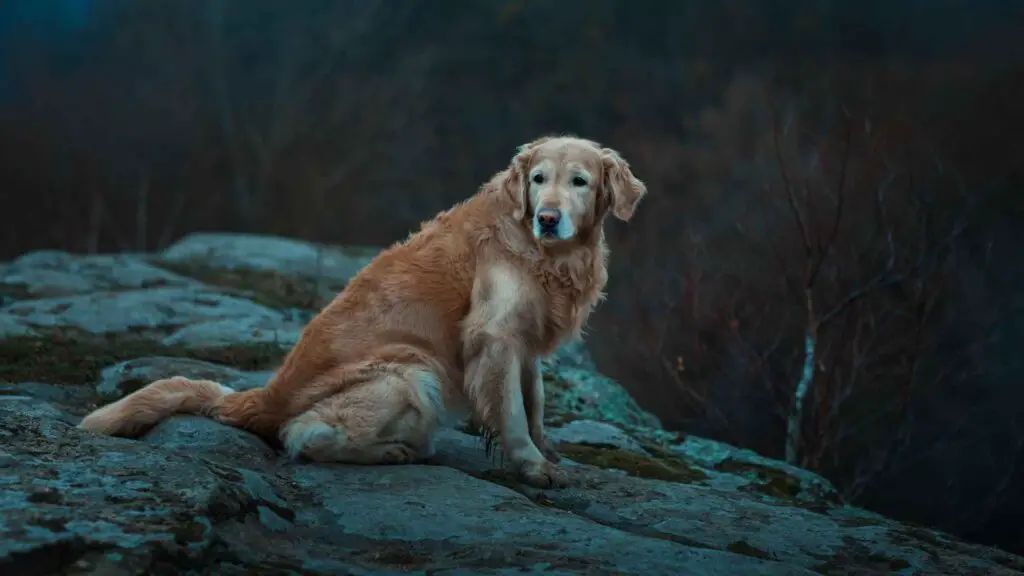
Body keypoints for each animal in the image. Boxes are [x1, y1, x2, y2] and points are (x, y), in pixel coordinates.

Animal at [83, 133, 651, 483]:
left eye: (579, 181)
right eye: (538, 179)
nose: (548, 218)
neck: (547, 255)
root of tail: (263, 395)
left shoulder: (526, 341)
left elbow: (534, 402)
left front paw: (547, 451)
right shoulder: (493, 335)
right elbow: (510, 410)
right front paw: (533, 466)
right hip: (412, 370)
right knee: (303, 434)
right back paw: (393, 451)